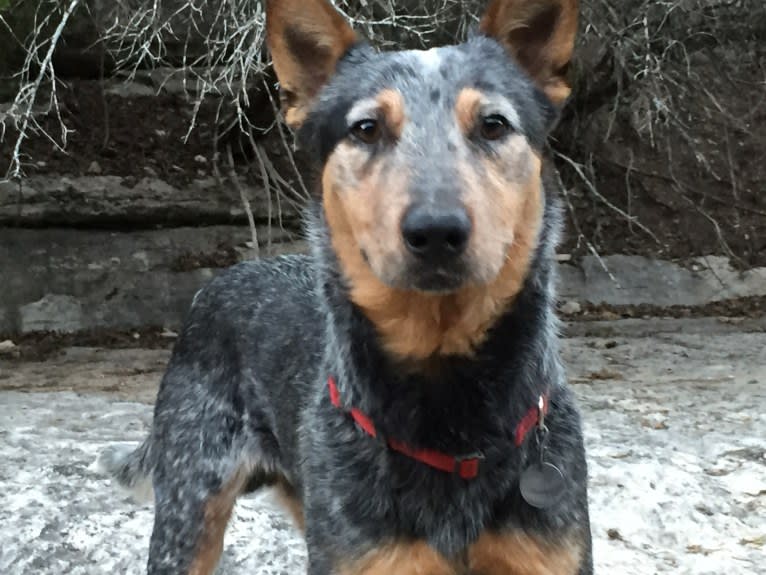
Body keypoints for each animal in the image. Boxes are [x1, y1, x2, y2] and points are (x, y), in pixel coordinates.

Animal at [100, 0, 592, 572]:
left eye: (494, 124)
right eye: (366, 128)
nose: (437, 230)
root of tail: (223, 279)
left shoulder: (548, 549)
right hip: (190, 508)